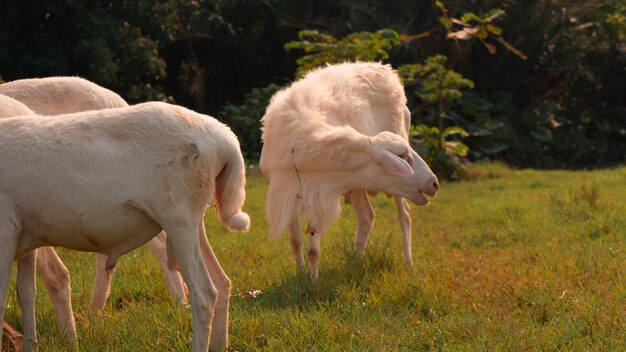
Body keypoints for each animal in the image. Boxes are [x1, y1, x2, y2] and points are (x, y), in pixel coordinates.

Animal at [258, 61, 438, 280]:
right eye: (403, 156)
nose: (434, 183)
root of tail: (386, 70)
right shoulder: (289, 190)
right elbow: (295, 241)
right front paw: (301, 275)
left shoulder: (318, 195)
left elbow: (313, 249)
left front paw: (313, 282)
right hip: (357, 182)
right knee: (367, 217)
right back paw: (355, 264)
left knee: (404, 216)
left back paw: (408, 263)